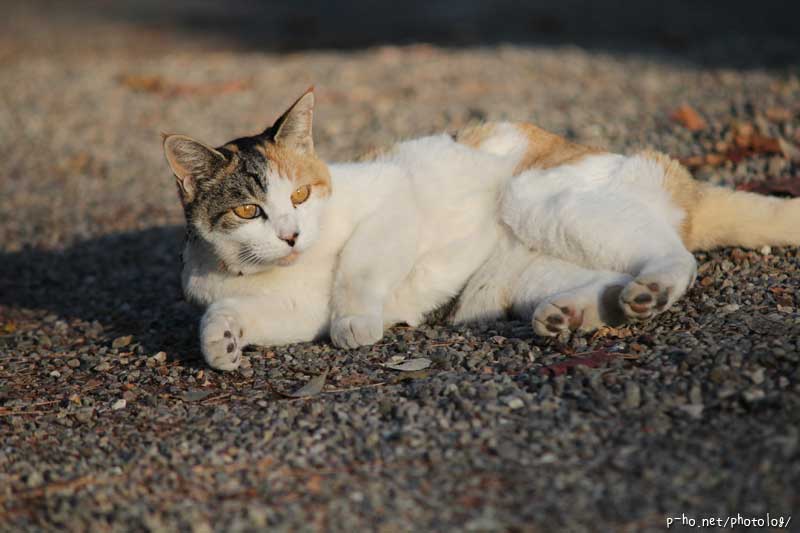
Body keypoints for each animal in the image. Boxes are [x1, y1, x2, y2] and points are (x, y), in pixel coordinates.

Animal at [163, 88, 800, 370]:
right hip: (535, 270)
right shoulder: (292, 309)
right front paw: (221, 343)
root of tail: (682, 177)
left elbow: (360, 268)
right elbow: (230, 314)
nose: (291, 236)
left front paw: (356, 322)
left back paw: (654, 290)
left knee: (674, 256)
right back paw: (577, 313)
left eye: (299, 195)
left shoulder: (390, 203)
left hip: (538, 201)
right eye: (249, 211)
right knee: (610, 280)